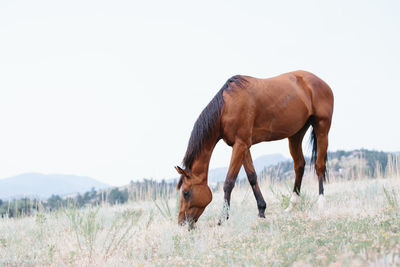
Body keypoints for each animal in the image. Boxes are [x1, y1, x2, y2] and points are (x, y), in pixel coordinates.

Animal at [175, 70, 334, 227]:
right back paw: (291, 206)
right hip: (296, 134)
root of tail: (320, 82)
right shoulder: (243, 145)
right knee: (299, 165)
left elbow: (229, 182)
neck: (226, 107)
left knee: (319, 166)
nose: (182, 222)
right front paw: (262, 210)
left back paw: (321, 204)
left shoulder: (240, 145)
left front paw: (222, 218)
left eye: (186, 193)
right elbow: (252, 177)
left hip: (322, 128)